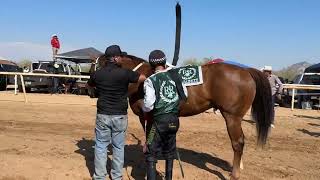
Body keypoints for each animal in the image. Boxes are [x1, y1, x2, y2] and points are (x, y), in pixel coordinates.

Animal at [92, 54, 272, 179]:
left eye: (96, 65)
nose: (90, 89)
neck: (141, 77)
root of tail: (246, 70)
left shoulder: (148, 117)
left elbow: (149, 143)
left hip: (231, 117)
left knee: (238, 143)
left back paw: (235, 174)